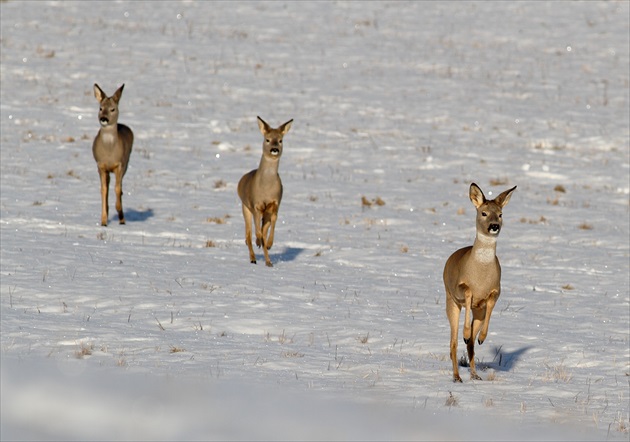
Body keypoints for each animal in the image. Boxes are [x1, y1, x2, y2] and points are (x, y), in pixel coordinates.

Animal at [91, 84, 133, 226]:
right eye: (100, 108)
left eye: (112, 109)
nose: (103, 118)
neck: (109, 152)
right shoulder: (100, 165)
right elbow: (104, 190)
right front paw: (104, 221)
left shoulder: (119, 165)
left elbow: (117, 189)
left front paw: (120, 214)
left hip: (126, 164)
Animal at [238, 115, 296, 266]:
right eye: (267, 139)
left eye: (281, 140)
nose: (274, 149)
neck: (266, 188)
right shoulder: (255, 205)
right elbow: (257, 231)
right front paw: (258, 242)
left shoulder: (275, 205)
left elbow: (271, 226)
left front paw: (269, 244)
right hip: (245, 207)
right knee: (248, 233)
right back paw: (253, 258)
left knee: (260, 231)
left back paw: (268, 261)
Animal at [444, 183, 520, 384]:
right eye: (483, 213)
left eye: (500, 214)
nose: (494, 226)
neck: (481, 274)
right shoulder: (459, 288)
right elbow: (468, 293)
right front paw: (465, 332)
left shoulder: (495, 291)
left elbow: (491, 304)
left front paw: (483, 337)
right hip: (450, 300)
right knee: (453, 342)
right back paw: (457, 376)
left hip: (478, 313)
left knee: (470, 344)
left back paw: (474, 374)